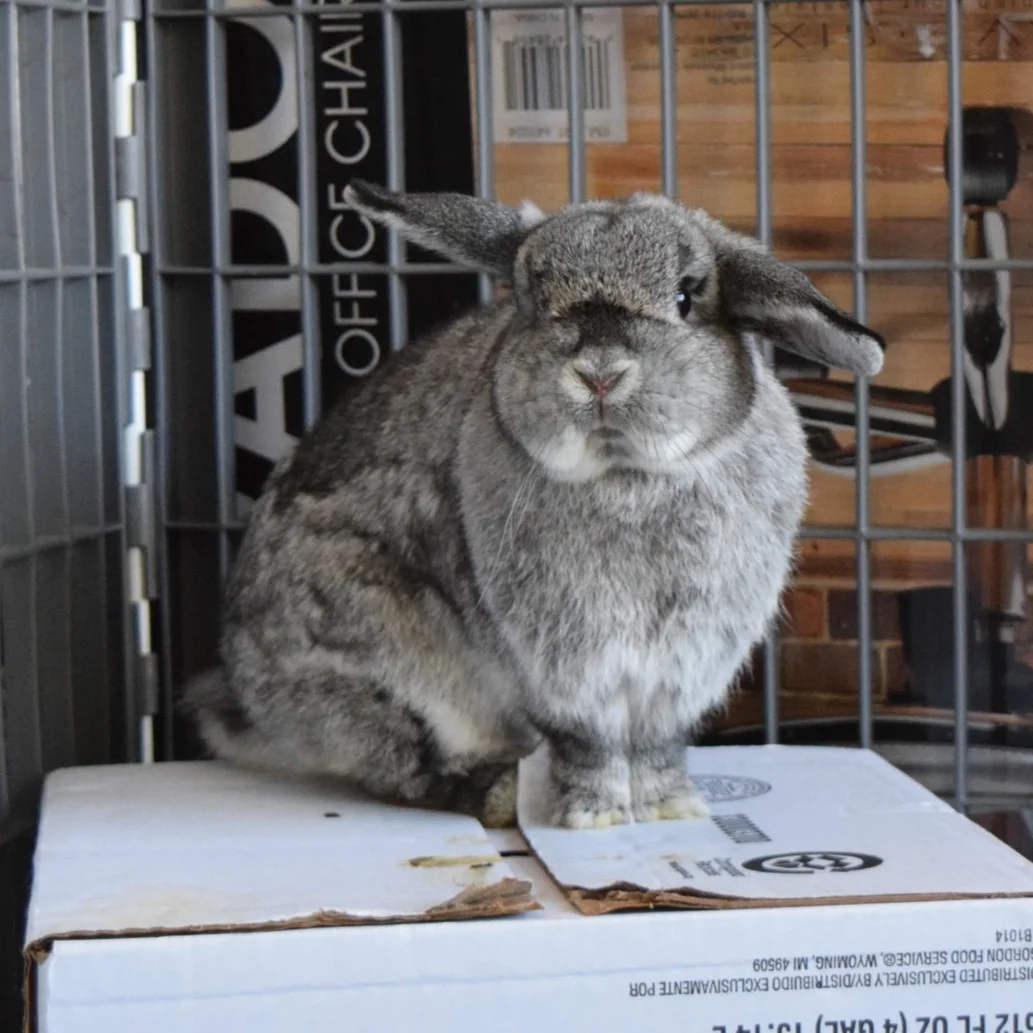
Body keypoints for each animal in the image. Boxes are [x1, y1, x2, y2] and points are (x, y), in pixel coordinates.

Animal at [184, 181, 884, 830]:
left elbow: (655, 745)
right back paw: (495, 797)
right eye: (531, 301)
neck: (624, 474)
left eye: (688, 297)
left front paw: (671, 810)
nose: (599, 373)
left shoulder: (681, 668)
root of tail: (247, 705)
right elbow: (590, 744)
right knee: (409, 761)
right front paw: (594, 818)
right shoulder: (564, 666)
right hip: (381, 665)